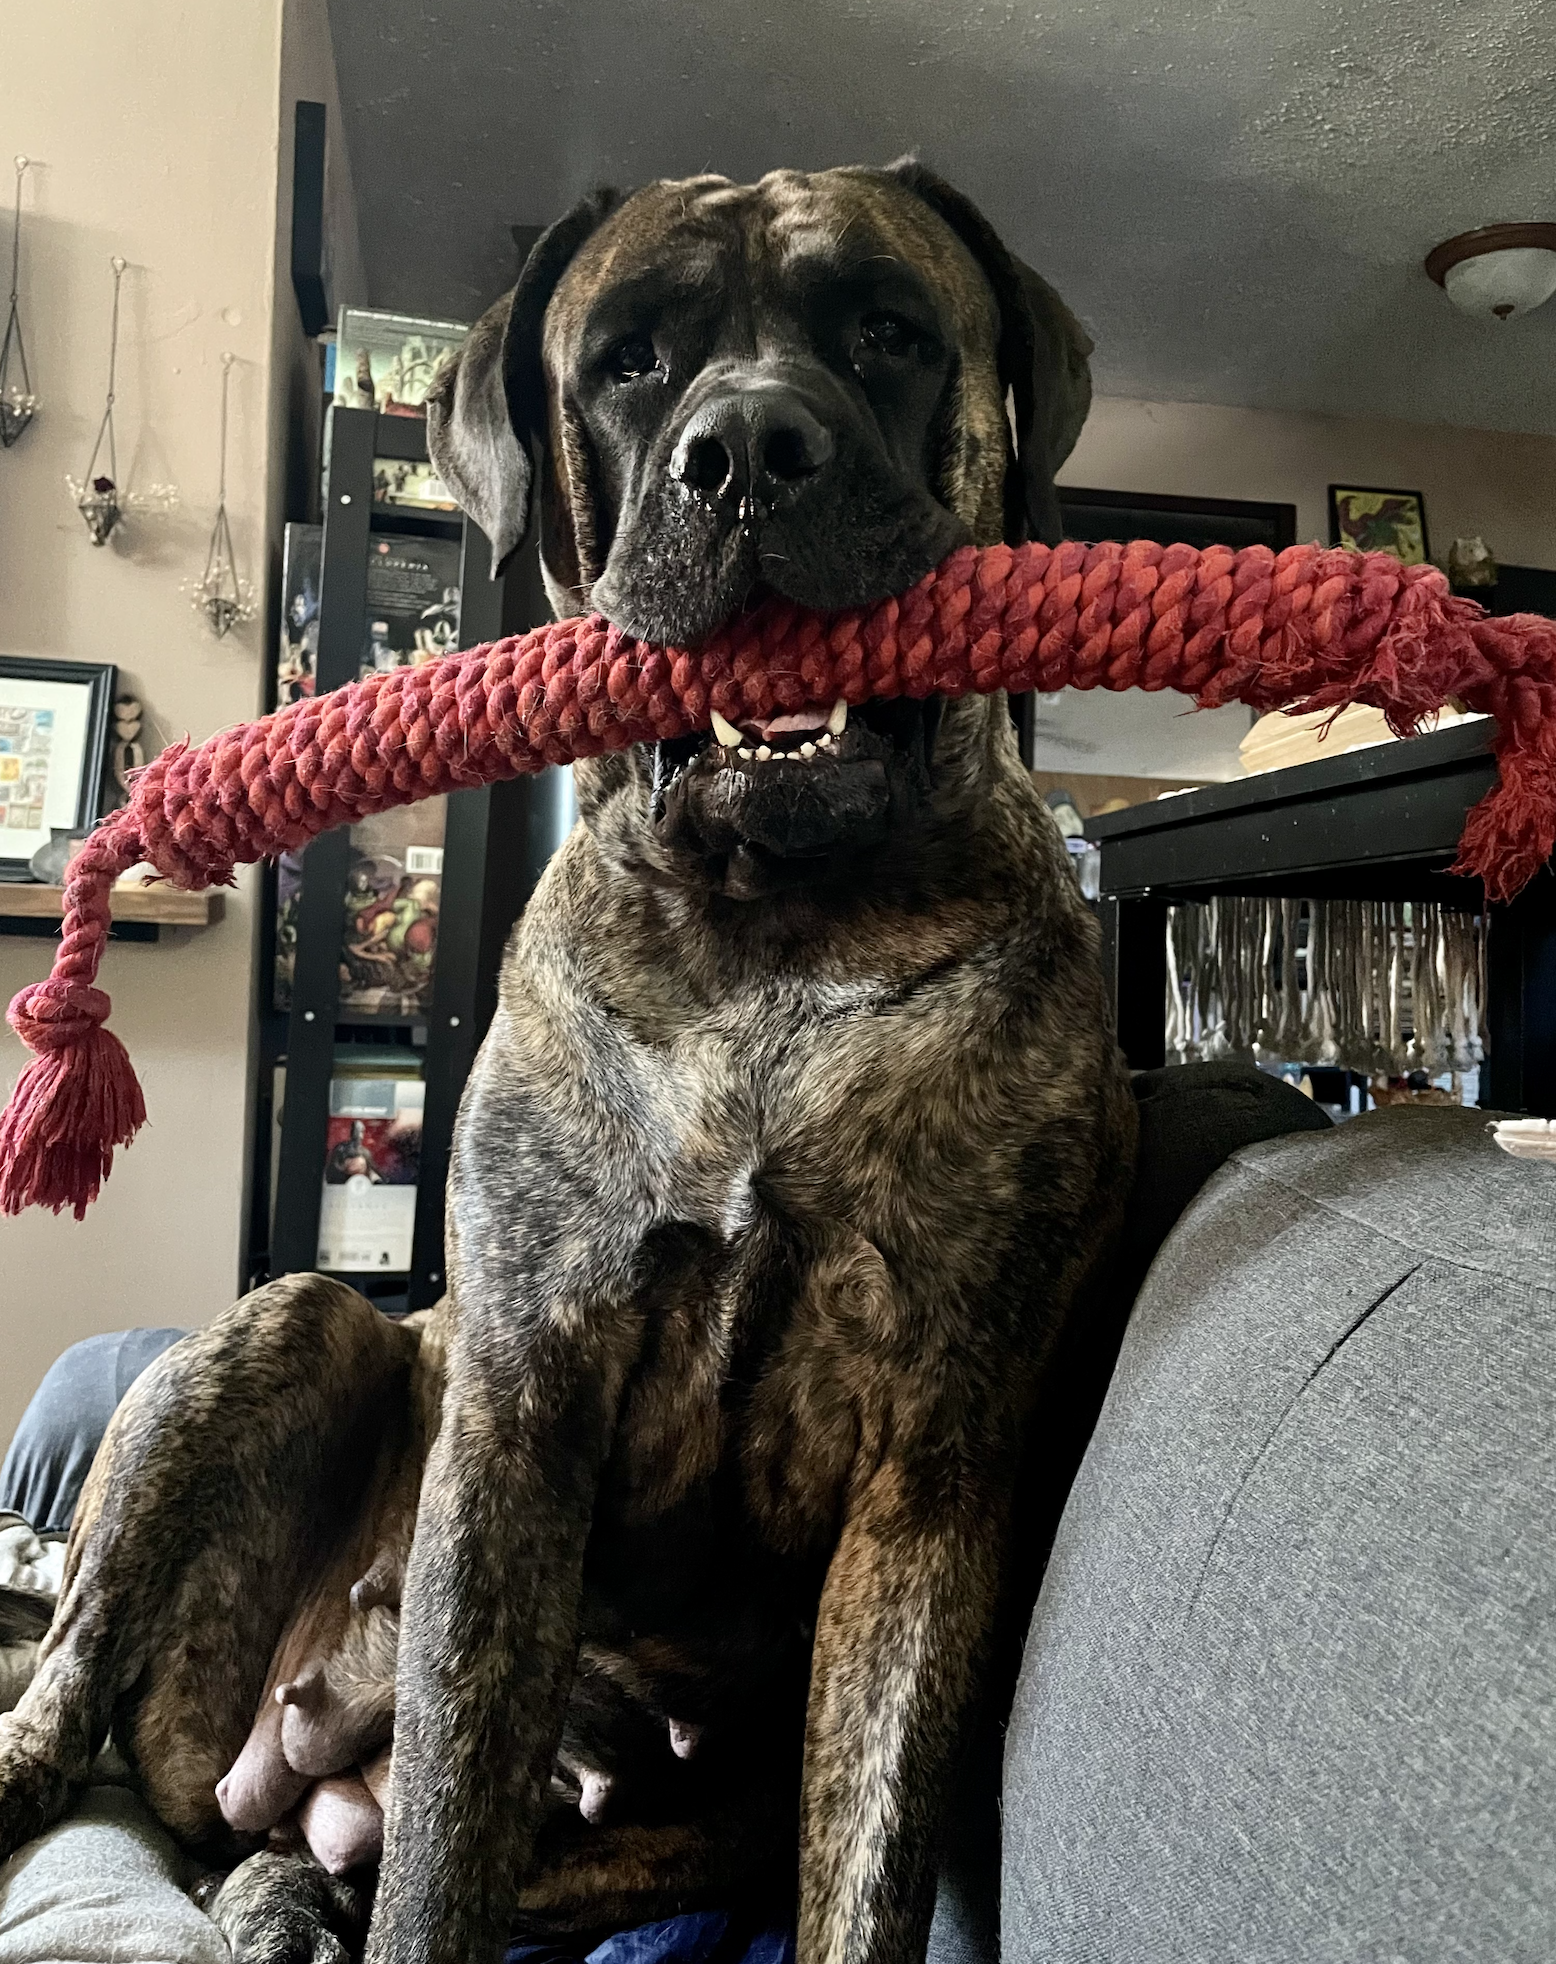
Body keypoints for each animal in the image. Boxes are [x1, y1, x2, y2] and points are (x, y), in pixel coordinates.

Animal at [0, 161, 1139, 1964]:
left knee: (293, 1842)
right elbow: (443, 1841)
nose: (749, 447)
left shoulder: (932, 1476)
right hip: (287, 1334)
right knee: (71, 1677)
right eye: (628, 361)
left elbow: (868, 1859)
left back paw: (280, 1895)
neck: (768, 930)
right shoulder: (523, 1399)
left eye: (889, 332)